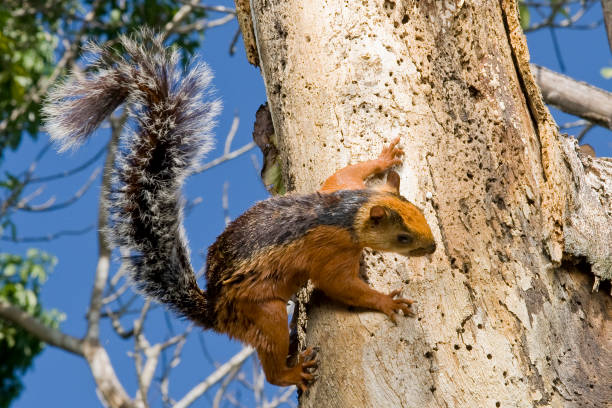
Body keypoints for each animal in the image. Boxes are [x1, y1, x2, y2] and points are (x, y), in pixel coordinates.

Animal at [41, 28, 436, 392]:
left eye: (421, 214)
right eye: (402, 237)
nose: (432, 248)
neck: (349, 213)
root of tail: (216, 313)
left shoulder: (340, 186)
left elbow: (347, 171)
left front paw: (386, 157)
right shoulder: (331, 251)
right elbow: (340, 286)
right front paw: (387, 302)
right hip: (262, 312)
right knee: (272, 365)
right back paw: (292, 372)